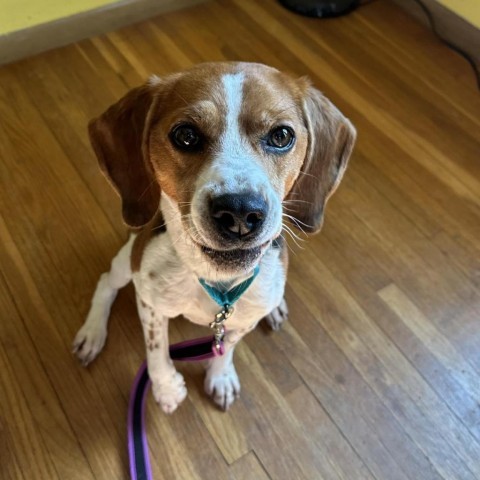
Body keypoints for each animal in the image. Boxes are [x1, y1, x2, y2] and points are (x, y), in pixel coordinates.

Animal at [72, 61, 356, 412]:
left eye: (281, 136)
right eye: (186, 135)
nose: (240, 212)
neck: (217, 283)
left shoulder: (240, 321)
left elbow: (227, 347)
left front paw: (220, 376)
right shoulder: (150, 303)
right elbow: (156, 349)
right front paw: (166, 388)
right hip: (127, 262)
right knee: (105, 283)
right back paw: (92, 332)